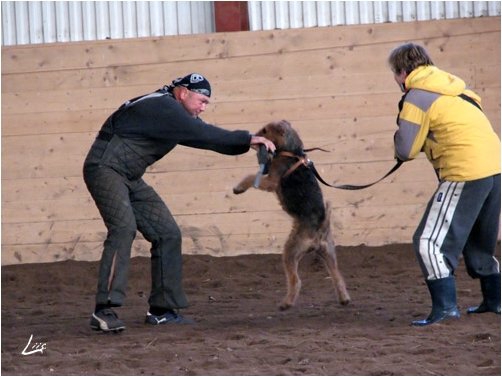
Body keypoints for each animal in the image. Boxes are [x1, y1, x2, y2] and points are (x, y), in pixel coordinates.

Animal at [234, 119, 350, 308]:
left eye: (265, 130)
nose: (253, 137)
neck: (292, 151)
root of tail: (319, 229)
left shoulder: (271, 181)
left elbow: (250, 177)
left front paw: (238, 188)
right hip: (329, 252)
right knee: (337, 276)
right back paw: (344, 299)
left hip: (291, 251)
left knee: (296, 281)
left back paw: (286, 303)